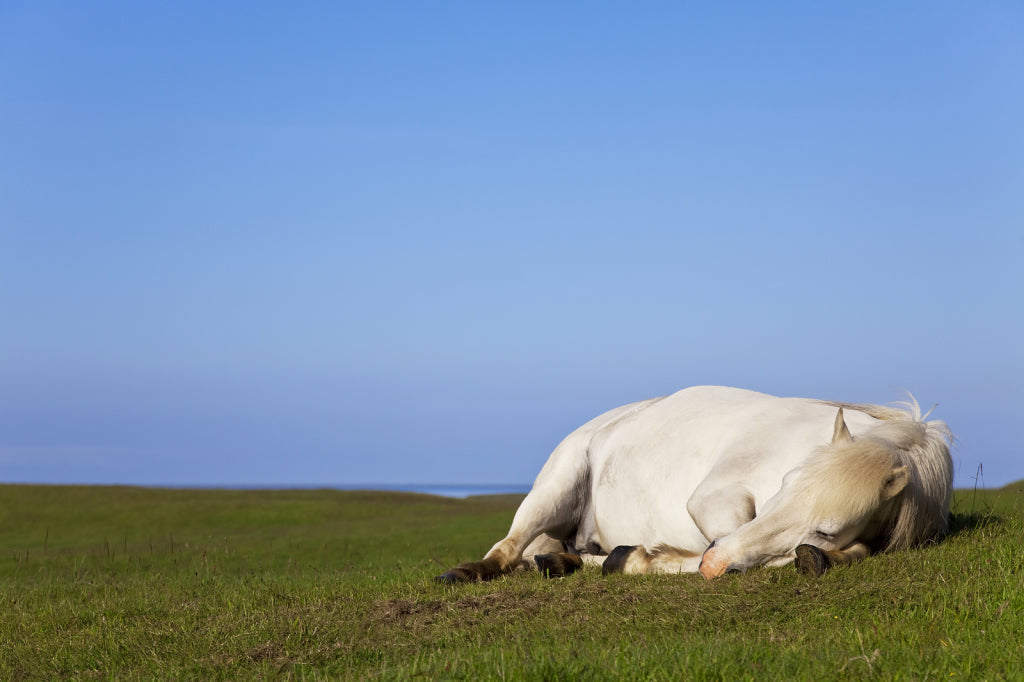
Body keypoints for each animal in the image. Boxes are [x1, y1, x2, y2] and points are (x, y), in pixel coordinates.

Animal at [436, 386, 954, 582]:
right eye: (786, 481)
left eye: (827, 528)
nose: (714, 566)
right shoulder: (712, 501)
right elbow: (725, 542)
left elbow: (827, 553)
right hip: (555, 488)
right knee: (507, 549)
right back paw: (467, 572)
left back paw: (569, 560)